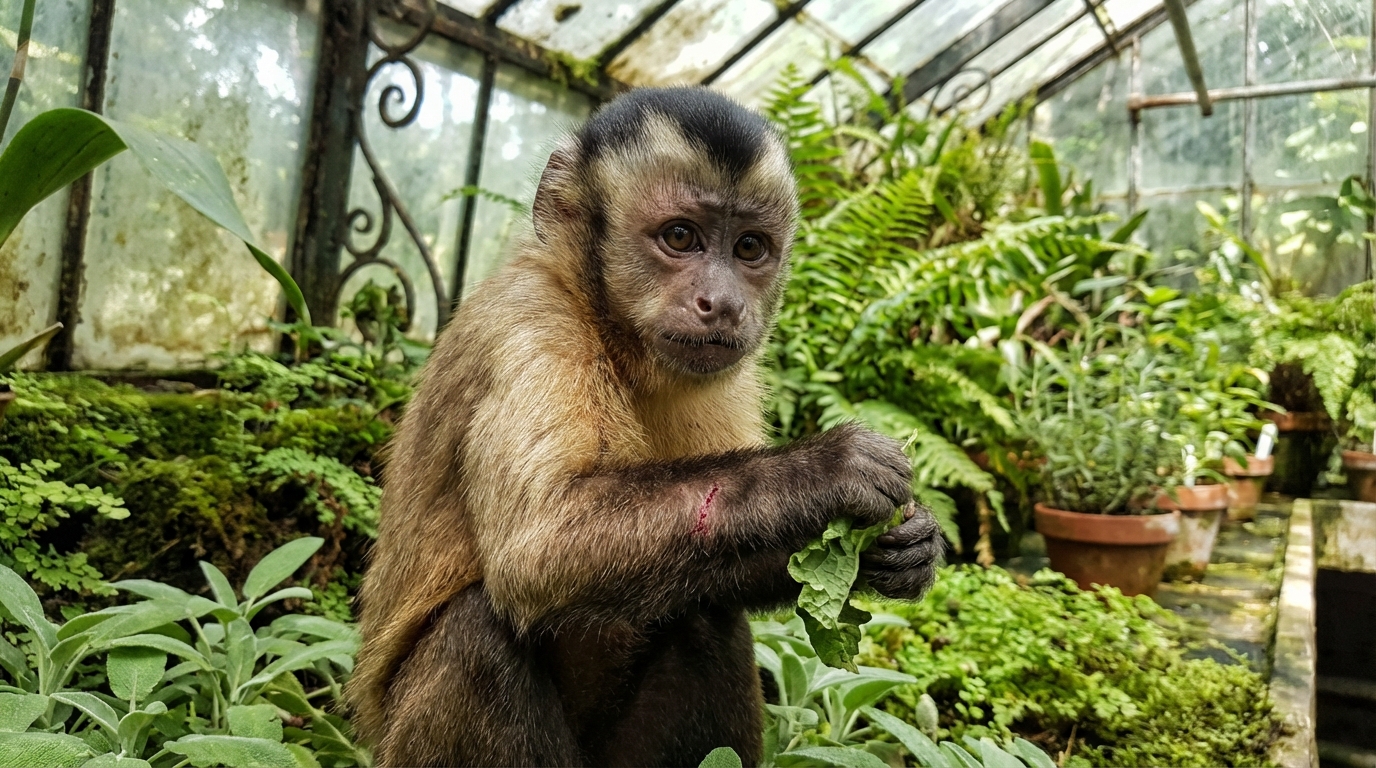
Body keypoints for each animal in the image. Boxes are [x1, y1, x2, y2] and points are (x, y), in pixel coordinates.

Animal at [349, 86, 945, 768]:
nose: (724, 303)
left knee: (704, 613)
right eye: (680, 237)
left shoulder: (734, 375)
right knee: (474, 634)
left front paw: (904, 549)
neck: (614, 336)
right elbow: (539, 545)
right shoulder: (528, 321)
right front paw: (829, 470)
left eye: (749, 248)